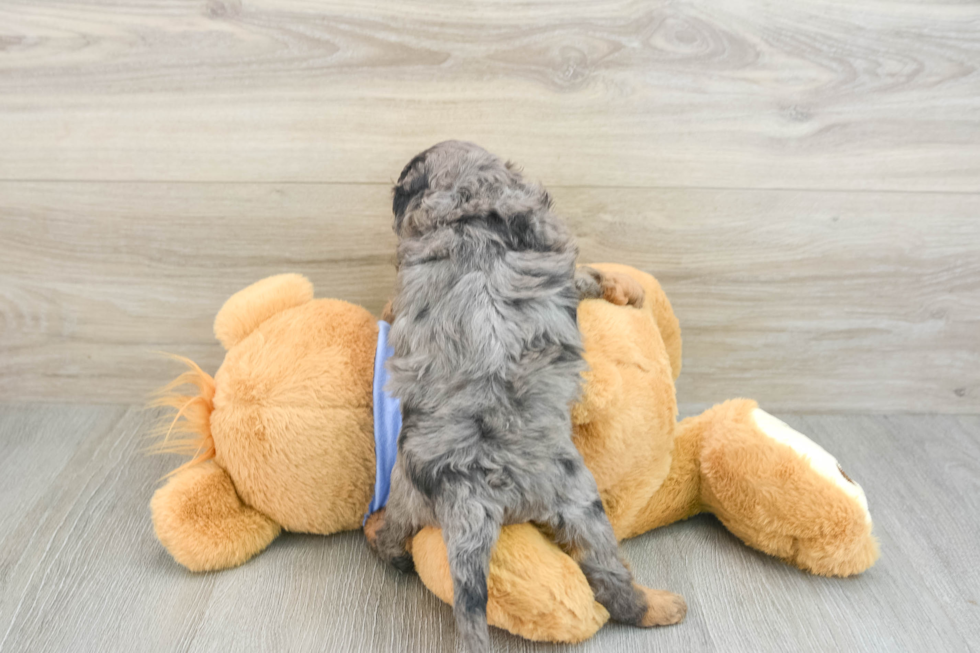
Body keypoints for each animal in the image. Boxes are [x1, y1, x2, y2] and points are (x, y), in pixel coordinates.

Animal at [370, 140, 688, 648]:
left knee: (392, 542)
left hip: (411, 494)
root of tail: (468, 482)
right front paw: (630, 289)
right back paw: (659, 605)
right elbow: (593, 273)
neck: (468, 209)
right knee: (609, 578)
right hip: (578, 501)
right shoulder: (565, 266)